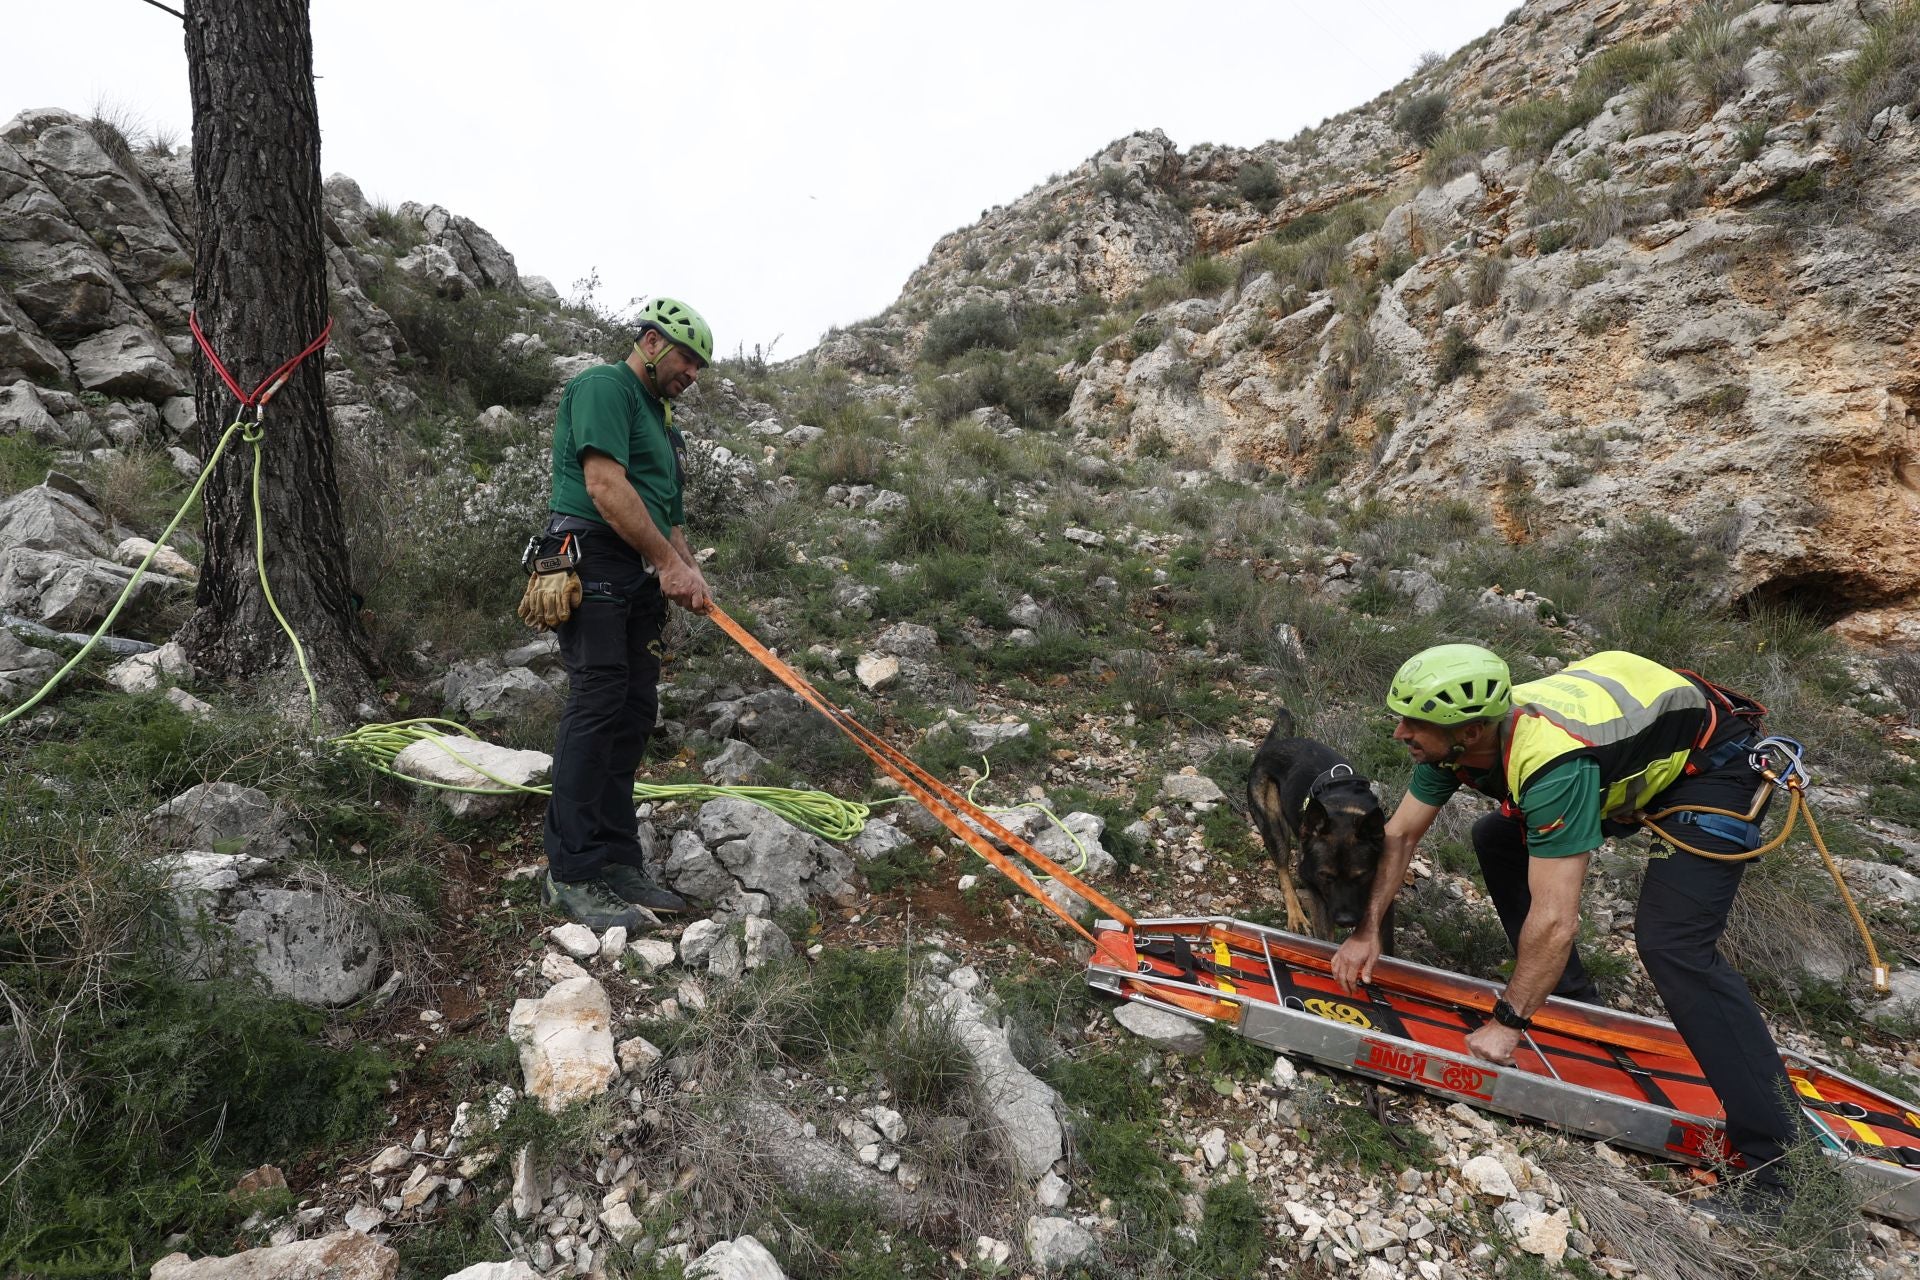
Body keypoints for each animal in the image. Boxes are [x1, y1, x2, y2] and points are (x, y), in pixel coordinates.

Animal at [1244, 710, 1397, 951]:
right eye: (1325, 876)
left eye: (1361, 876)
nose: (1346, 921)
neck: (1344, 811)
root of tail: (1274, 744)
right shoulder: (1315, 888)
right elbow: (1325, 939)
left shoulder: (1383, 897)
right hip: (1274, 826)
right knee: (1283, 868)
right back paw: (1296, 915)